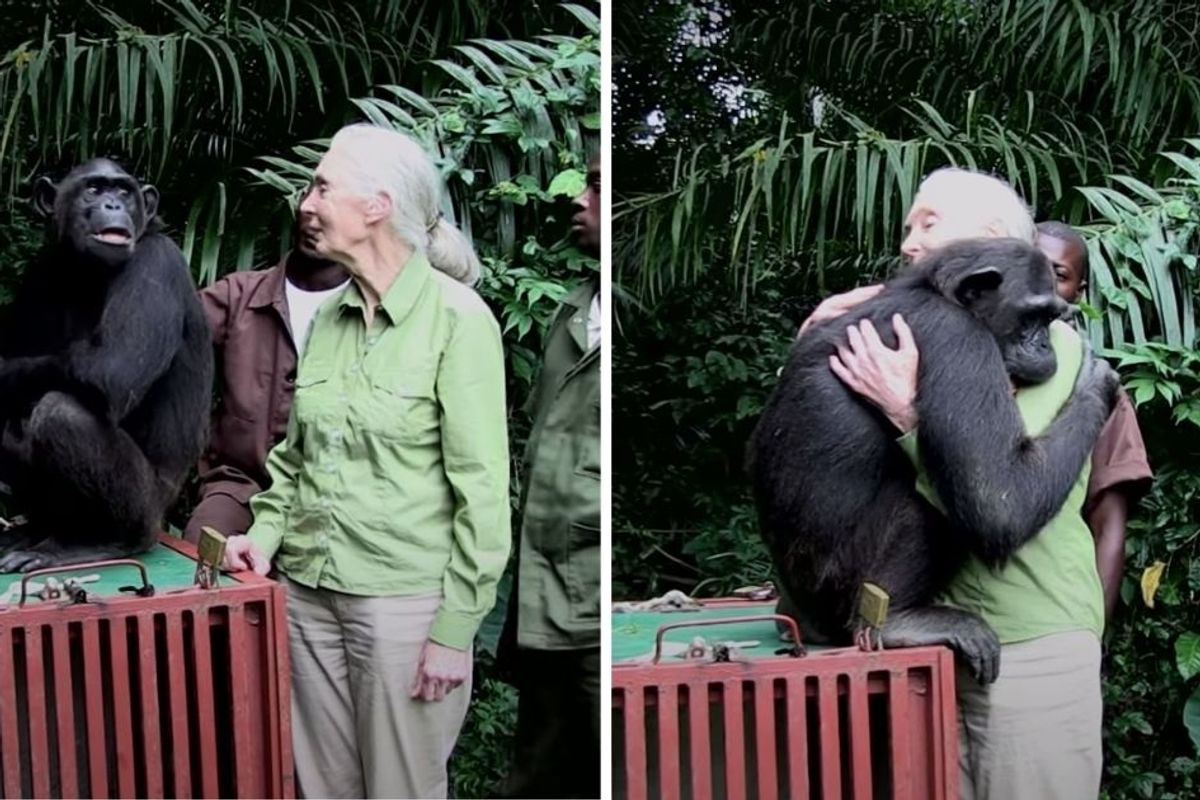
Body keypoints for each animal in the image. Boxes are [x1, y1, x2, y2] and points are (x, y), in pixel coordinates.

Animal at [0, 158, 212, 568]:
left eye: (124, 191)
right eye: (94, 189)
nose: (113, 204)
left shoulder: (156, 263)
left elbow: (115, 369)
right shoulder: (38, 273)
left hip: (147, 509)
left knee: (61, 414)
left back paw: (96, 542)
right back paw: (31, 533)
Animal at [753, 237, 1118, 681]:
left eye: (1050, 317)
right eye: (1032, 316)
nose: (1045, 345)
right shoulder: (957, 340)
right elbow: (998, 499)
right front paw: (1096, 381)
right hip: (837, 589)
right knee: (930, 504)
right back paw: (899, 622)